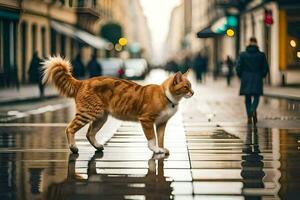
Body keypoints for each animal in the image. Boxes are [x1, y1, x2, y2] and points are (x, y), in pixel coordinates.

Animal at [42, 57, 193, 154]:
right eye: (186, 87)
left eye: (190, 86)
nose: (193, 92)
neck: (167, 96)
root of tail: (82, 82)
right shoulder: (147, 120)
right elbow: (152, 138)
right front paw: (155, 149)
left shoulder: (161, 123)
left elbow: (161, 138)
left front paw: (161, 148)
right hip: (87, 113)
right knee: (69, 128)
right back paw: (73, 147)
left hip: (100, 117)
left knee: (90, 133)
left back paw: (97, 146)